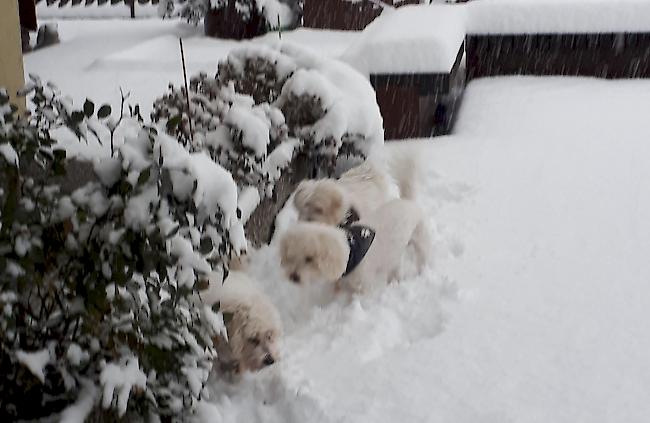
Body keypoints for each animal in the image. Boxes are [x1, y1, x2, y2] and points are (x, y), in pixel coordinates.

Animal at [280, 197, 428, 294]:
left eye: (309, 259)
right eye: (291, 257)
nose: (293, 277)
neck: (350, 249)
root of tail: (408, 201)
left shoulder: (363, 286)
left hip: (421, 241)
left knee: (422, 259)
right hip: (394, 254)